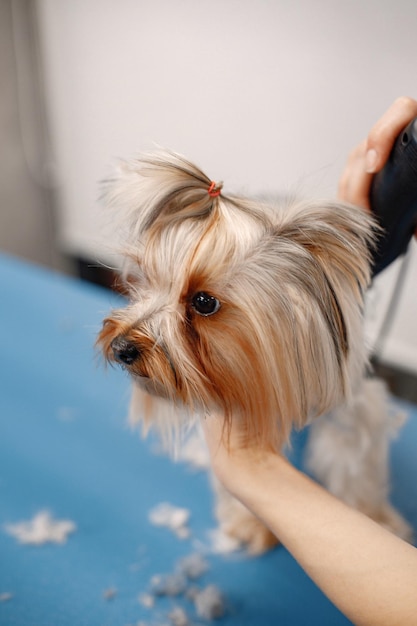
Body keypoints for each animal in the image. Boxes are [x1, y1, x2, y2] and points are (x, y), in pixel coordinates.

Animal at [97, 149, 410, 548]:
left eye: (203, 302)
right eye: (142, 279)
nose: (121, 347)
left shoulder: (350, 408)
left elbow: (356, 468)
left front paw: (376, 519)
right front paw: (249, 524)